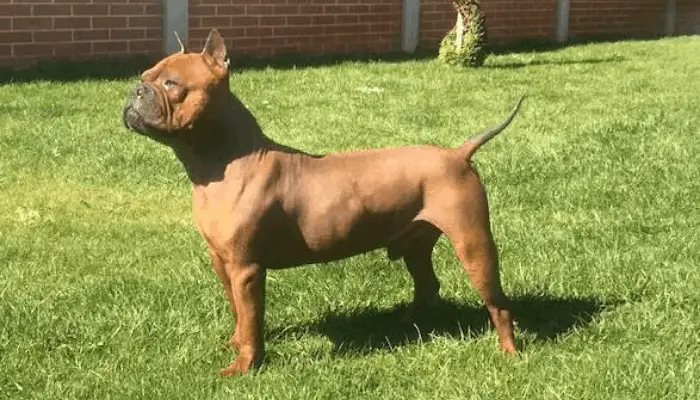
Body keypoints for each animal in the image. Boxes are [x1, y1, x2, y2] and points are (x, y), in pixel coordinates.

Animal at [123, 28, 524, 376]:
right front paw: (234, 344)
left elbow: (252, 320)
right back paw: (409, 325)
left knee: (498, 303)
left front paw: (245, 366)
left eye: (171, 84)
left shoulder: (246, 269)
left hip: (473, 243)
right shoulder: (222, 262)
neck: (224, 161)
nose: (135, 90)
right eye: (145, 75)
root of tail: (457, 153)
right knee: (428, 285)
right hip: (416, 244)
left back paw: (509, 351)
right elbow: (238, 313)